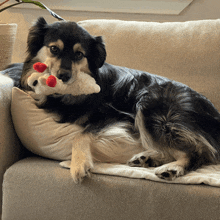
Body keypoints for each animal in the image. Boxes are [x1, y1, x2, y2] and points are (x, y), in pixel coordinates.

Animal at [6, 16, 220, 182]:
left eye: (79, 54)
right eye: (53, 49)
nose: (63, 76)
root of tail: (213, 112)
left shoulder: (119, 115)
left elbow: (80, 134)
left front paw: (79, 164)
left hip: (150, 107)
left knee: (200, 152)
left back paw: (173, 167)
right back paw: (148, 159)